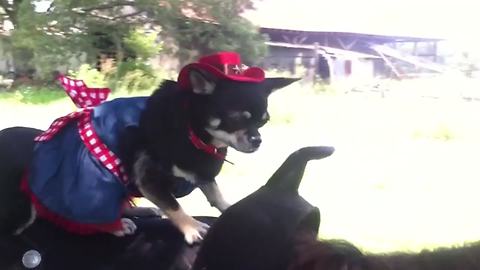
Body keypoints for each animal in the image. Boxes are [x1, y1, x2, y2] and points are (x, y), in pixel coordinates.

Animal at [0, 51, 298, 244]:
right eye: (237, 118)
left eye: (263, 120)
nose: (257, 140)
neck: (192, 132)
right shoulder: (149, 177)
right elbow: (173, 204)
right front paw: (191, 228)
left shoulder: (200, 169)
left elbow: (214, 193)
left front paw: (229, 207)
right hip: (86, 181)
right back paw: (116, 225)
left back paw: (136, 211)